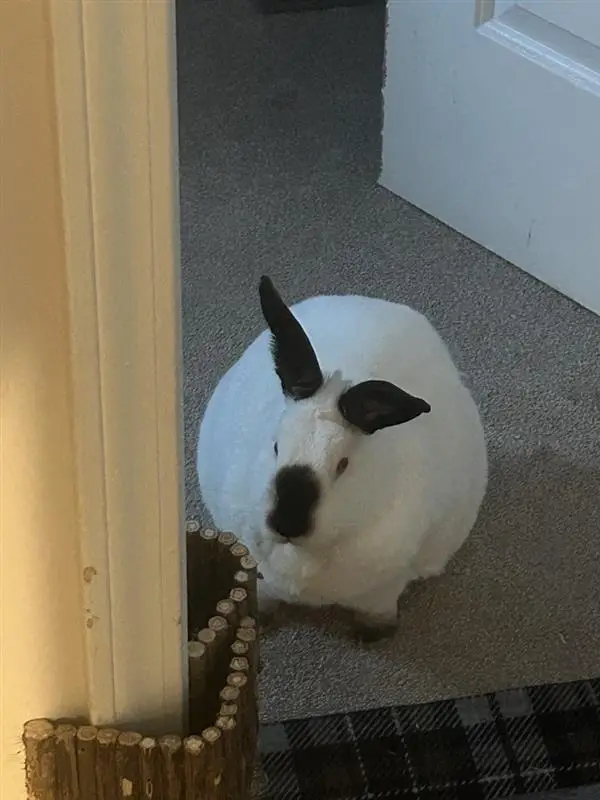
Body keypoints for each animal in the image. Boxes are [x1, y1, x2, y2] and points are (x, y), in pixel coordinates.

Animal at [197, 276, 487, 640]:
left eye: (343, 465)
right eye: (275, 445)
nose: (287, 523)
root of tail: (371, 302)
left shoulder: (387, 584)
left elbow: (378, 605)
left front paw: (373, 633)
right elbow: (266, 591)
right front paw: (258, 617)